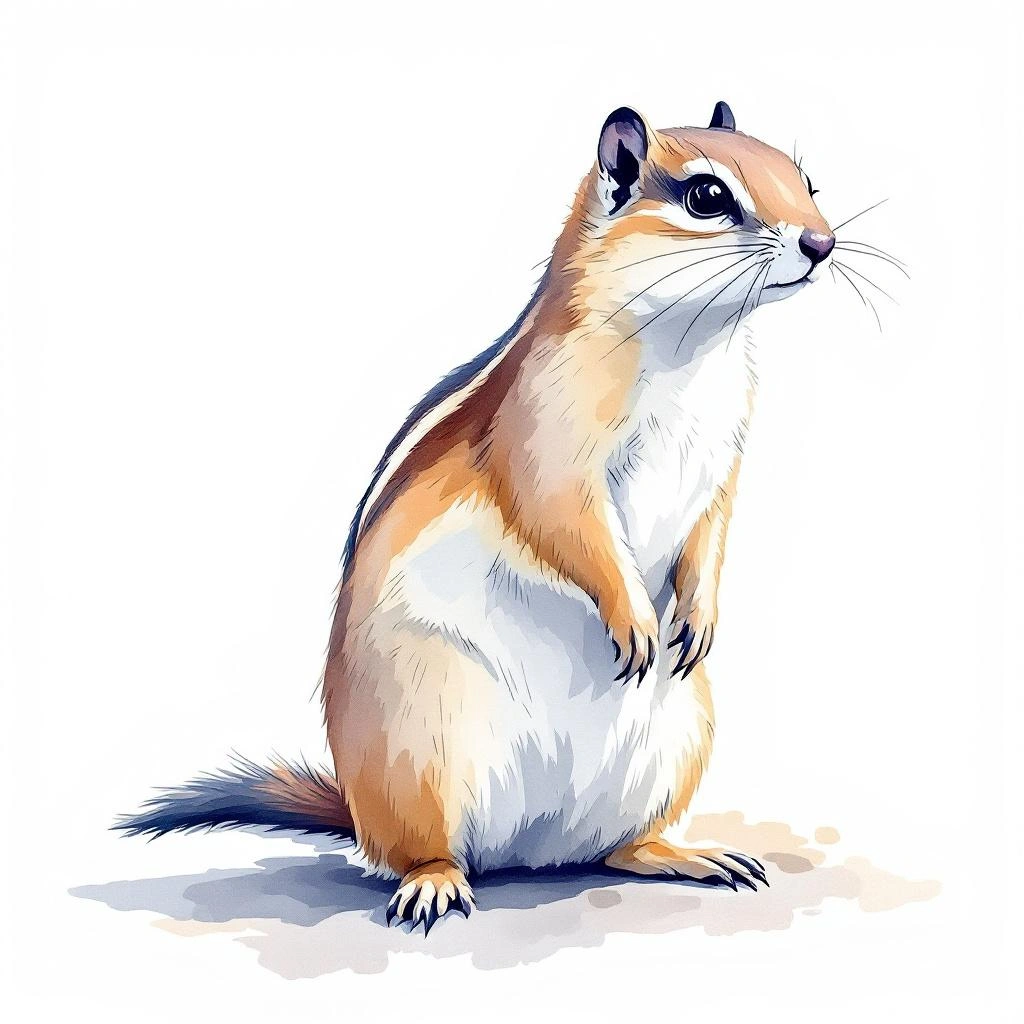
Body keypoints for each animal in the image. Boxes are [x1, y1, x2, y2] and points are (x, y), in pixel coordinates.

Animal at [118, 101, 835, 934]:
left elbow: (712, 533)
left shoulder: (724, 462)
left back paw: (684, 855)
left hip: (679, 738)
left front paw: (699, 617)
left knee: (618, 848)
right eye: (707, 197)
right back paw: (433, 882)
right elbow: (564, 517)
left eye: (808, 182)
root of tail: (529, 850)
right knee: (425, 850)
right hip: (422, 741)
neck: (695, 347)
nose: (822, 243)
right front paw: (634, 617)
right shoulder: (549, 437)